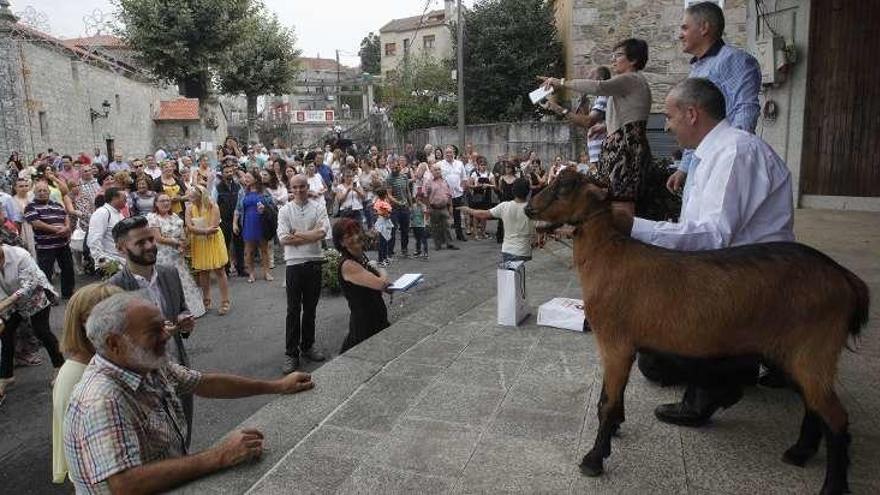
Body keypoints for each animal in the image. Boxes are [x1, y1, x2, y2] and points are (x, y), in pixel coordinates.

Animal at [524, 169, 868, 494]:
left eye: (564, 187)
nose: (528, 208)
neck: (608, 254)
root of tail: (845, 278)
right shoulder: (626, 346)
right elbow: (614, 397)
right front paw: (615, 431)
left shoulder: (614, 342)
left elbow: (605, 403)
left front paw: (594, 458)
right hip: (794, 354)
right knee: (814, 405)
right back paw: (799, 452)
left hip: (813, 348)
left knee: (835, 416)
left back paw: (832, 484)